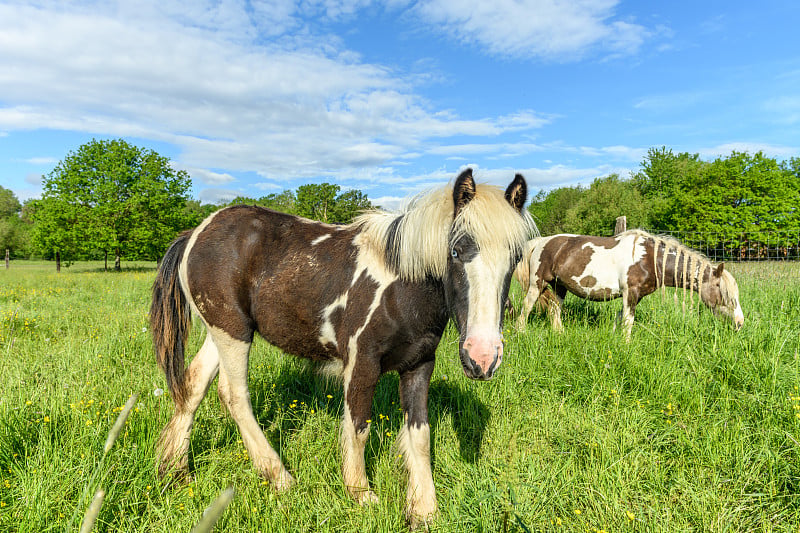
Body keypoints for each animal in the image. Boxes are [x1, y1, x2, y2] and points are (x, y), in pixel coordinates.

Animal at [150, 169, 536, 524]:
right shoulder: (361, 362)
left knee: (193, 385)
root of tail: (194, 234)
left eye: (516, 257)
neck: (402, 286)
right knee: (233, 395)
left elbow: (420, 435)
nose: (482, 358)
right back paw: (279, 477)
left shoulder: (420, 364)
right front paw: (361, 493)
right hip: (233, 333)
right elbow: (358, 427)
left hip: (223, 331)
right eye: (456, 251)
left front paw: (423, 509)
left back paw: (175, 470)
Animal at [516, 228, 748, 336]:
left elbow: (621, 318)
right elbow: (628, 321)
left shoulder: (634, 296)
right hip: (538, 283)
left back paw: (559, 334)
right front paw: (626, 345)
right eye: (725, 293)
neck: (650, 258)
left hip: (560, 287)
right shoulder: (631, 293)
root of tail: (542, 241)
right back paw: (521, 332)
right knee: (527, 307)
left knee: (555, 310)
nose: (740, 323)